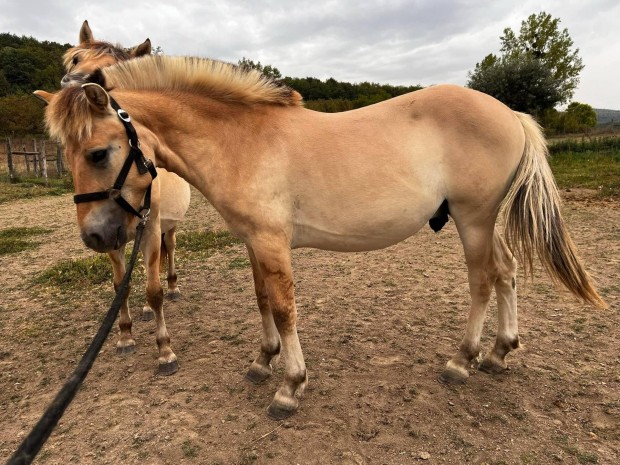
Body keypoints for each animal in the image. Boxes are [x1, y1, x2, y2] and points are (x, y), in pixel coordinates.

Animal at [35, 54, 604, 416]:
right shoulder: (253, 242)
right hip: (484, 221)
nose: (95, 237)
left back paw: (462, 361)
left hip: (474, 218)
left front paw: (290, 386)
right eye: (65, 154)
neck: (241, 141)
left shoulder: (272, 242)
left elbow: (285, 309)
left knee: (484, 279)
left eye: (98, 153)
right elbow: (263, 299)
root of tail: (510, 113)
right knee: (507, 272)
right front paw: (262, 362)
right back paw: (500, 353)